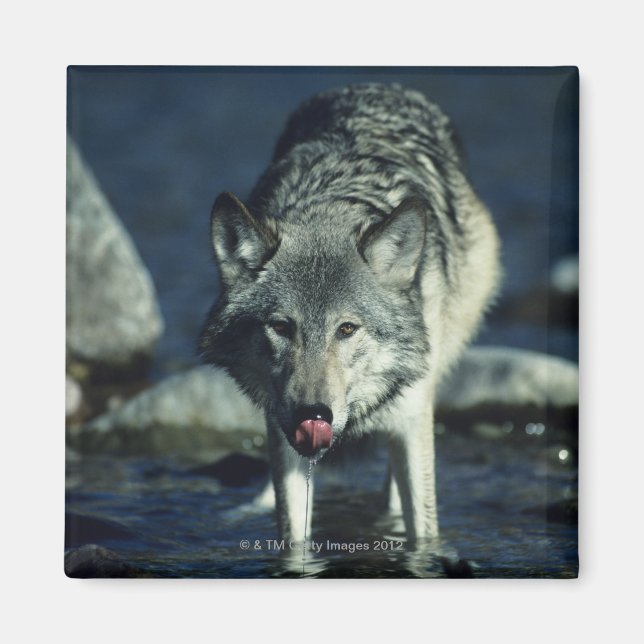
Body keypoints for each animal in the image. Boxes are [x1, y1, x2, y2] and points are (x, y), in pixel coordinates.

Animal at [199, 83, 500, 544]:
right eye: (281, 326)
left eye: (346, 329)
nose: (313, 415)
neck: (329, 209)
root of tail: (380, 86)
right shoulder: (282, 434)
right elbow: (293, 535)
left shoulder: (411, 419)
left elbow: (423, 530)